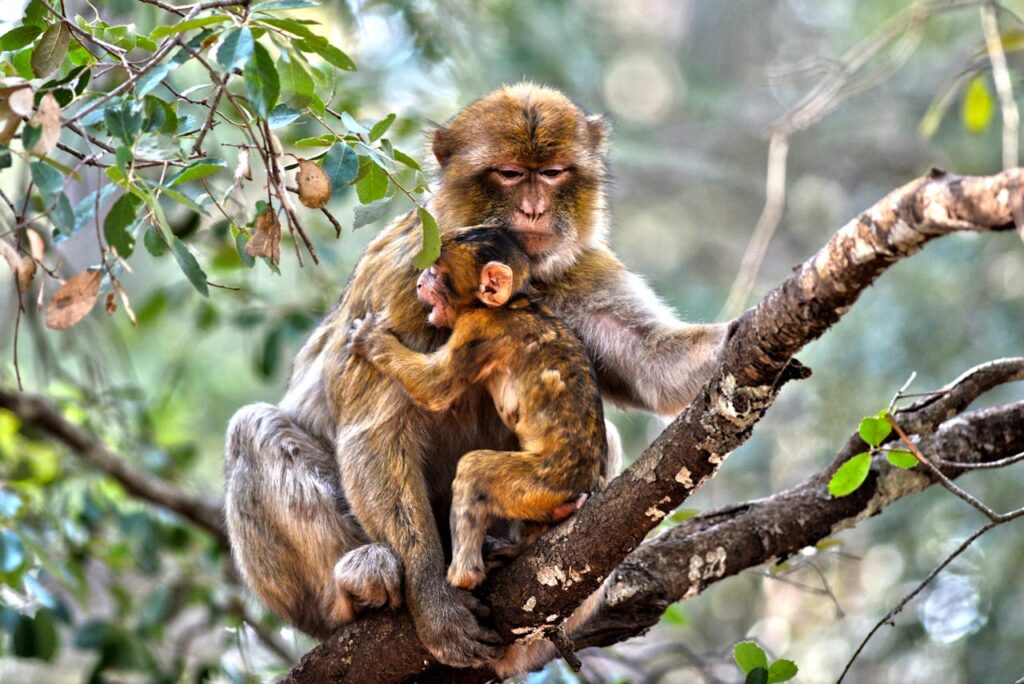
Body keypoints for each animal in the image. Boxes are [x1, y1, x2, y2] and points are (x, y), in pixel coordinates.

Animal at [346, 226, 607, 591]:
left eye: (437, 272)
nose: (419, 282)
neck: (511, 304)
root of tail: (589, 482)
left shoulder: (478, 328)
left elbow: (436, 387)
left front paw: (373, 341)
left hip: (546, 482)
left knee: (474, 470)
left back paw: (463, 576)